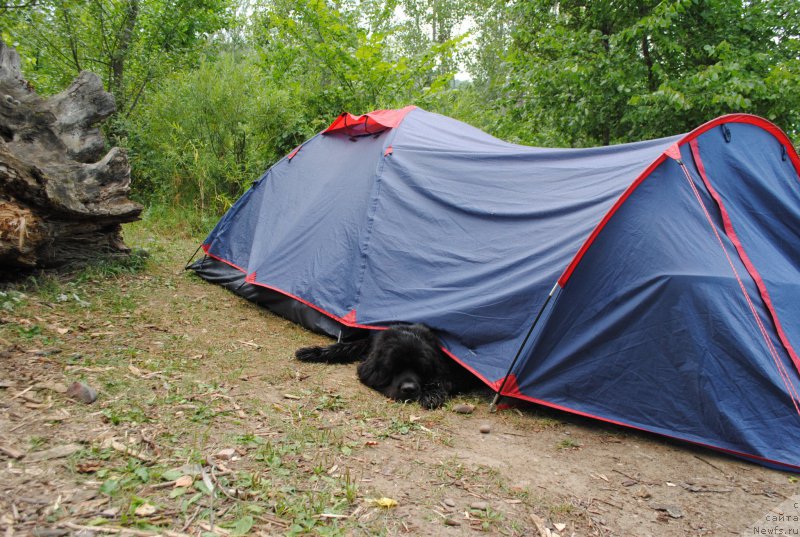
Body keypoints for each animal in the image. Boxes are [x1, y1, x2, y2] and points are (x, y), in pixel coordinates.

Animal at [296, 322, 478, 406]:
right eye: (394, 368)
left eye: (421, 369)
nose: (409, 389)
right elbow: (345, 346)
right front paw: (310, 352)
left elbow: (441, 379)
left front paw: (431, 396)